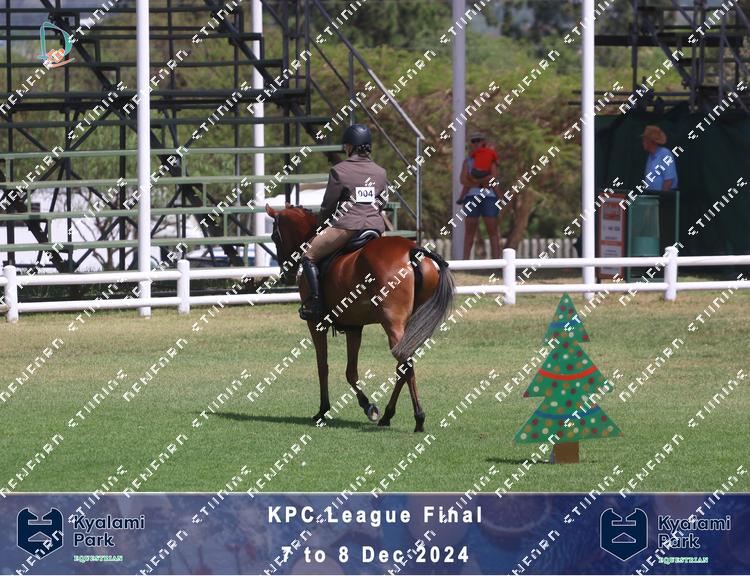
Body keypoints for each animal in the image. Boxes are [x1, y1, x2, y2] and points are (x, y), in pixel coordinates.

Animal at [265, 204, 455, 432]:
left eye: (275, 236)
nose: (286, 272)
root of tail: (412, 250)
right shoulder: (354, 327)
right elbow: (351, 371)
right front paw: (369, 407)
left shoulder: (316, 323)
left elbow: (323, 366)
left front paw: (324, 411)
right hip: (411, 325)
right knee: (403, 365)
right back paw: (388, 415)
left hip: (392, 323)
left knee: (405, 364)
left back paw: (418, 418)